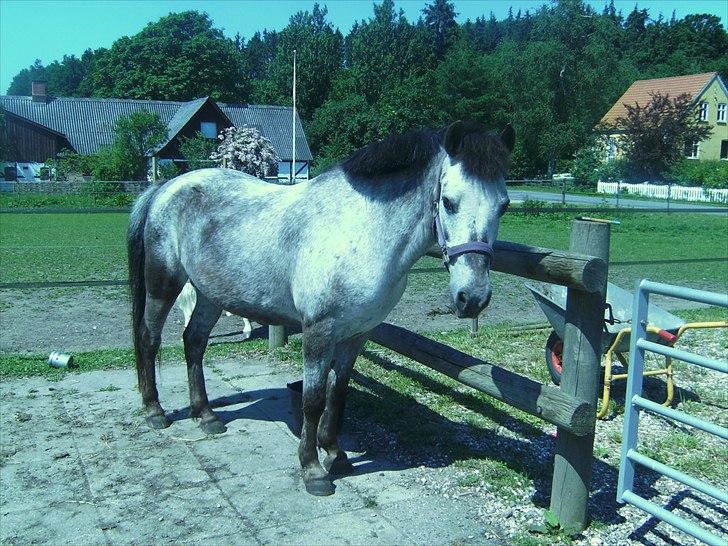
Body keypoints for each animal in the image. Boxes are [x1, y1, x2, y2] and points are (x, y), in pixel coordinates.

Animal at [126, 119, 512, 492]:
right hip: (164, 284)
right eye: (448, 201)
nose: (473, 297)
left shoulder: (358, 333)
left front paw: (335, 454)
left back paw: (205, 415)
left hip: (209, 294)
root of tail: (167, 187)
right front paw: (313, 469)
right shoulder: (318, 331)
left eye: (504, 205)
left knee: (194, 341)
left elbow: (337, 394)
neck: (362, 229)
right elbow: (312, 400)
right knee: (149, 338)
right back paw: (155, 412)